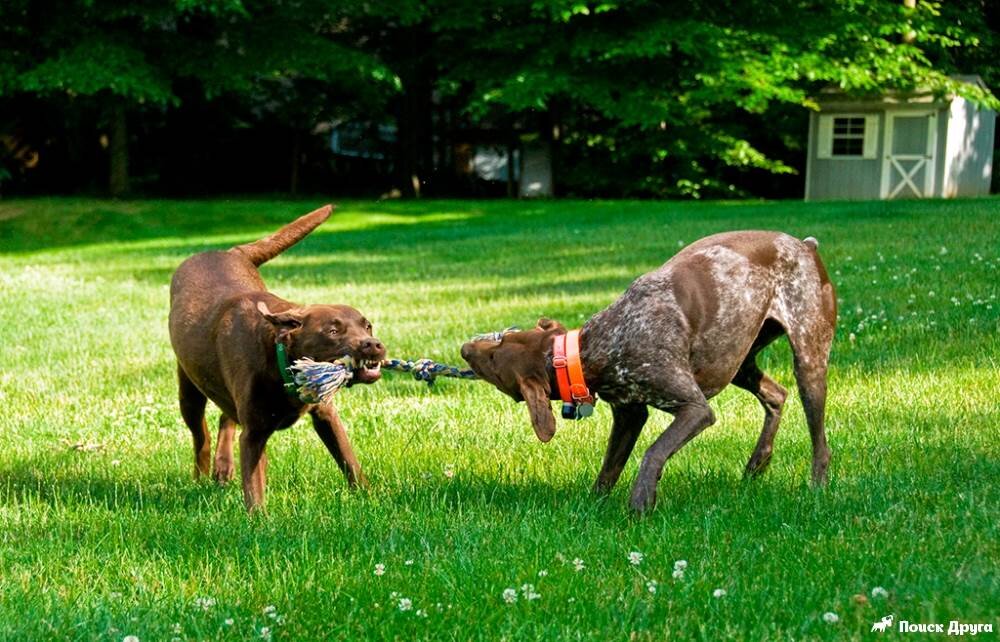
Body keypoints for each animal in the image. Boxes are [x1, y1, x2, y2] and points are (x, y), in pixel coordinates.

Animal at [166, 205, 384, 510]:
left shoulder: (325, 414)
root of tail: (229, 251)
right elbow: (253, 486)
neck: (281, 360)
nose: (373, 345)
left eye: (367, 326)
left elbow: (348, 460)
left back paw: (223, 467)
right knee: (201, 437)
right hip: (189, 391)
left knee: (225, 417)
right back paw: (202, 477)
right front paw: (259, 519)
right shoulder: (254, 433)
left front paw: (369, 497)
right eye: (332, 331)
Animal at [460, 230, 836, 510]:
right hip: (737, 360)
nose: (464, 349)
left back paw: (816, 487)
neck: (594, 347)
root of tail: (805, 245)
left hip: (808, 358)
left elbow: (654, 451)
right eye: (501, 336)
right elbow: (609, 468)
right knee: (776, 394)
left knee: (819, 441)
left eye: (493, 360)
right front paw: (593, 506)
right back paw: (758, 462)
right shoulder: (629, 415)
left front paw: (642, 498)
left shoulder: (694, 409)